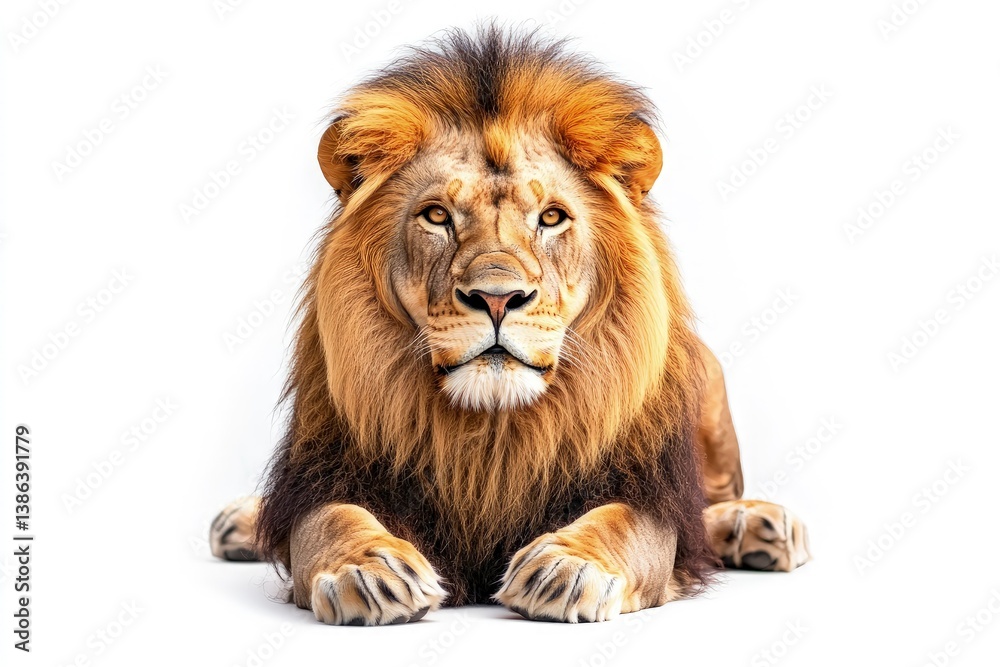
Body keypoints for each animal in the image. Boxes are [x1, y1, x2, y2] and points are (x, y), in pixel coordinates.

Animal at [209, 26, 810, 625]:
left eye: (551, 217)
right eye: (437, 216)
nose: (497, 298)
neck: (494, 430)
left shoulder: (648, 493)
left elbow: (624, 524)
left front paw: (568, 568)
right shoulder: (327, 474)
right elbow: (330, 520)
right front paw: (371, 569)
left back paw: (761, 526)